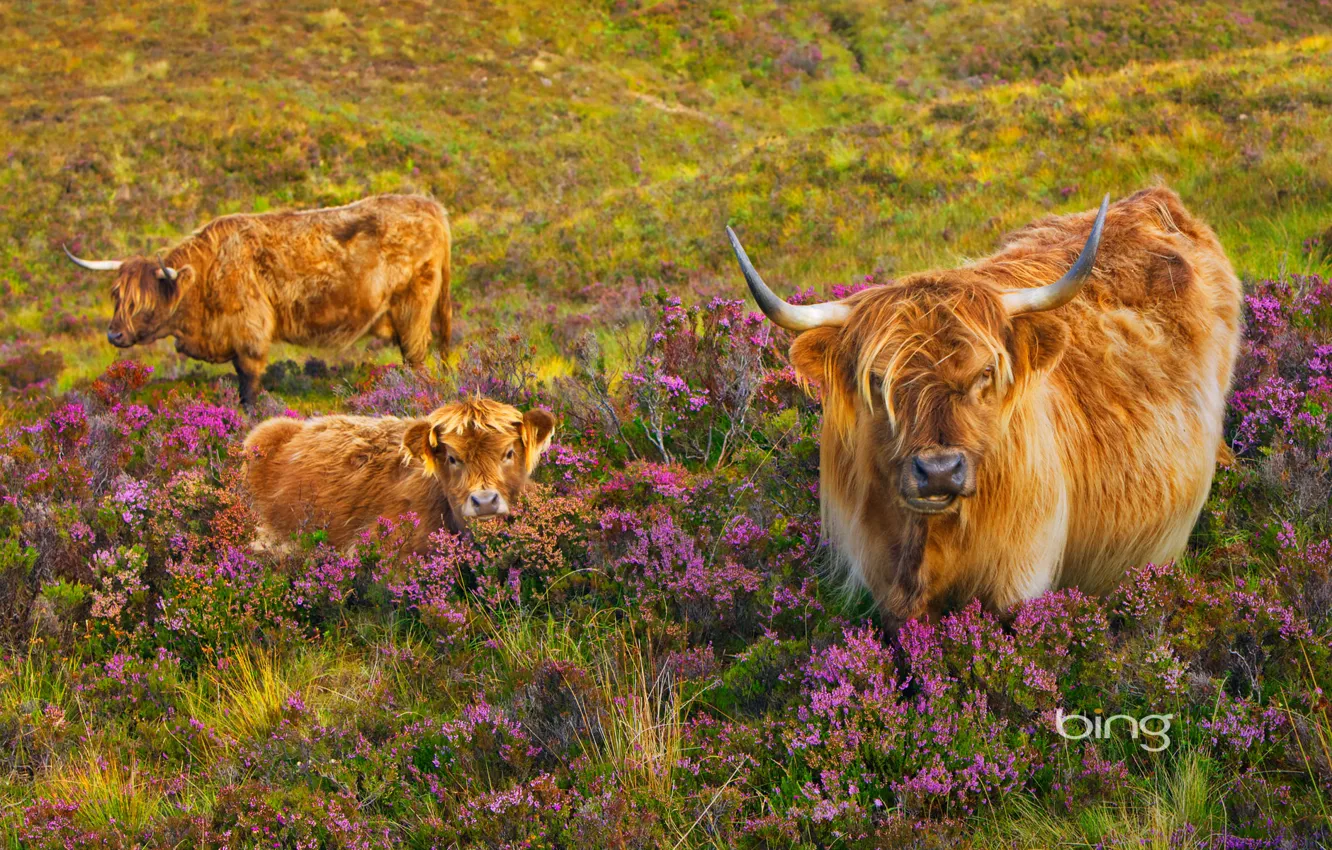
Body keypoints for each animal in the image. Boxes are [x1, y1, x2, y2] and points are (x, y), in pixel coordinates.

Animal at [64, 194, 452, 409]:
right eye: (117, 297)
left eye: (141, 302)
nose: (114, 335)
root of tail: (431, 206)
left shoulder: (249, 329)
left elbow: (248, 380)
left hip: (412, 306)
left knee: (417, 357)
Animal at [725, 187, 1241, 621]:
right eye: (877, 380)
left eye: (986, 374)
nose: (938, 471)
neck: (927, 544)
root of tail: (1154, 197)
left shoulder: (1019, 582)